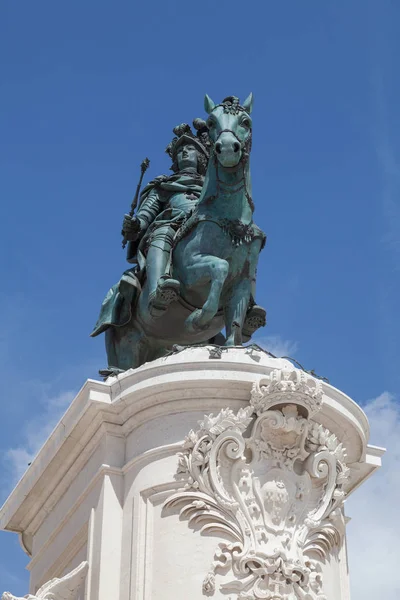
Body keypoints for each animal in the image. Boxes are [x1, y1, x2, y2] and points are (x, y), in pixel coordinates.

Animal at [103, 95, 266, 370]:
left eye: (246, 121)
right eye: (211, 122)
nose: (227, 148)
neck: (230, 221)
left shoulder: (243, 281)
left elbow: (234, 322)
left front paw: (234, 347)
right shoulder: (190, 270)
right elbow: (220, 267)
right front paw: (197, 318)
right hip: (126, 341)